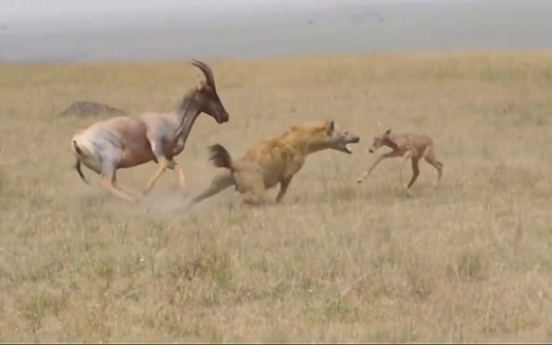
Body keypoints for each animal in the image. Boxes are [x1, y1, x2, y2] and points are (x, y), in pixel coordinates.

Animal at [71, 59, 231, 202]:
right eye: (209, 91)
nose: (224, 116)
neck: (172, 119)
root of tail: (76, 140)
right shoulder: (155, 143)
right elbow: (163, 165)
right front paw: (146, 190)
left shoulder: (166, 156)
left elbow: (178, 168)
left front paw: (185, 194)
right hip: (111, 160)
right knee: (104, 182)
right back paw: (135, 199)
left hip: (106, 166)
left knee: (113, 182)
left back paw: (136, 196)